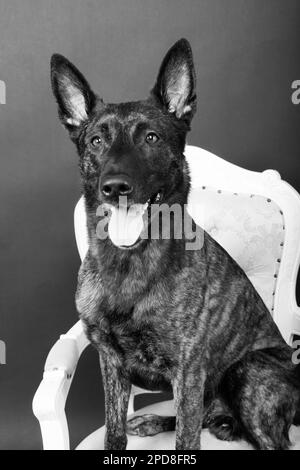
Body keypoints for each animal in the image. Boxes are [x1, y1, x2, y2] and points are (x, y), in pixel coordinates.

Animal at [50, 38, 300, 450]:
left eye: (151, 137)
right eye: (97, 140)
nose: (115, 187)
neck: (130, 263)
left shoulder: (188, 371)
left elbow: (186, 438)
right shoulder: (110, 361)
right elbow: (114, 431)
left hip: (248, 370)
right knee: (205, 416)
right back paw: (155, 421)